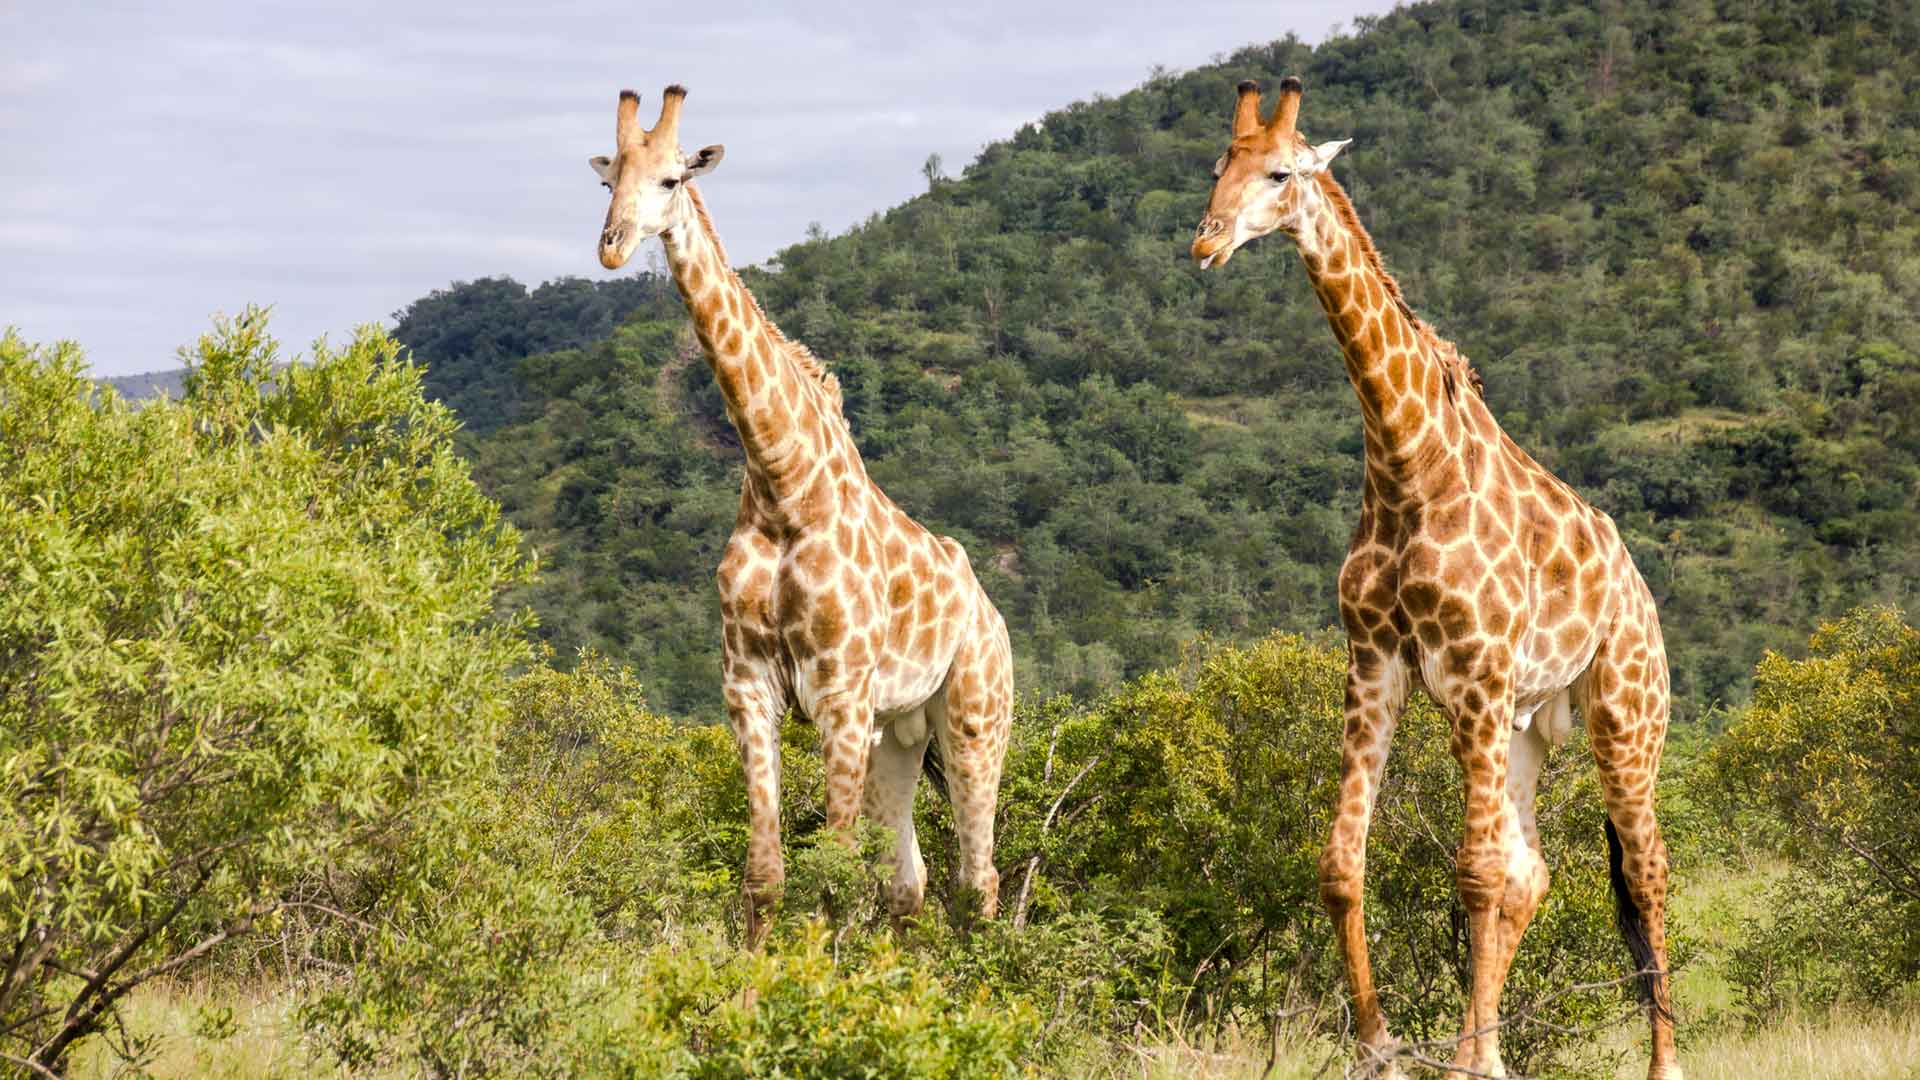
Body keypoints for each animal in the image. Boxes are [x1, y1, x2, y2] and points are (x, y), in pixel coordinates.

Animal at [588, 85, 1012, 945]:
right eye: (608, 180)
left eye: (672, 180)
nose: (612, 248)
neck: (784, 485)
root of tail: (992, 615)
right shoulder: (748, 682)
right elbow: (768, 876)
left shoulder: (839, 692)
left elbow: (831, 878)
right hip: (901, 731)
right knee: (911, 885)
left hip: (975, 715)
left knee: (976, 880)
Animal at [1191, 77, 1680, 1080]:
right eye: (1216, 165)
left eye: (1282, 172)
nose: (1206, 243)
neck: (1405, 461)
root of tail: (1641, 594)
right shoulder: (1377, 662)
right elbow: (1343, 862)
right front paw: (1383, 1044)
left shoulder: (1476, 670)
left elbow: (1475, 874)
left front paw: (1460, 1061)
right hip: (1530, 725)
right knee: (1536, 871)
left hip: (1623, 713)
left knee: (1644, 874)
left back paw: (1662, 1062)